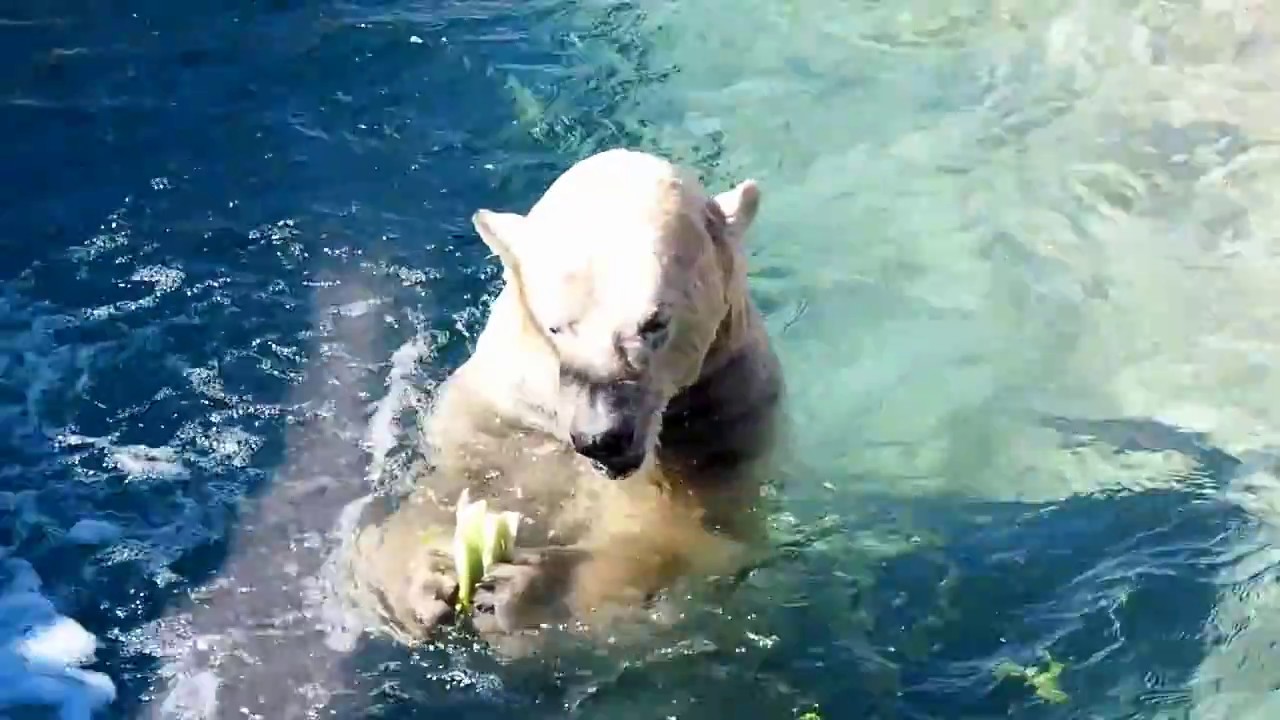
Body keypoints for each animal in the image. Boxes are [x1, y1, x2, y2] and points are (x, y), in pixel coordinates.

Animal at [339, 148, 784, 655]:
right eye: (555, 327)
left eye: (655, 323)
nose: (602, 438)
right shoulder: (504, 413)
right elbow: (456, 479)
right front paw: (422, 574)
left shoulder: (724, 419)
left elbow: (689, 537)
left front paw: (525, 587)